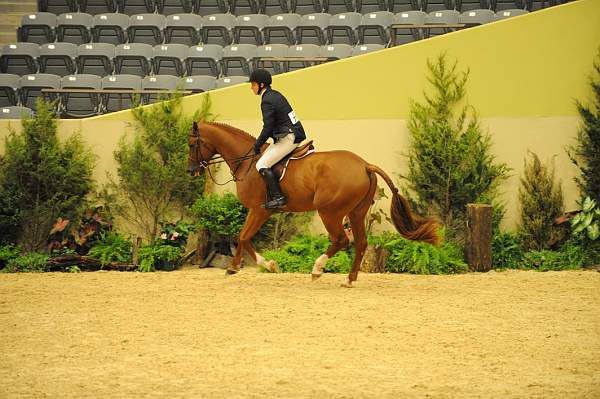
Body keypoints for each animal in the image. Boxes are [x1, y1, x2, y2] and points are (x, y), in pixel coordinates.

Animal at [189, 122, 440, 288]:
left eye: (192, 144)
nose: (192, 171)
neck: (248, 163)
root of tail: (364, 165)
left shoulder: (259, 210)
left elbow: (242, 237)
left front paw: (262, 266)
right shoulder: (261, 212)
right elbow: (243, 237)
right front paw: (245, 266)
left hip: (329, 211)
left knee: (341, 240)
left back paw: (317, 269)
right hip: (356, 212)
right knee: (360, 243)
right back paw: (349, 280)